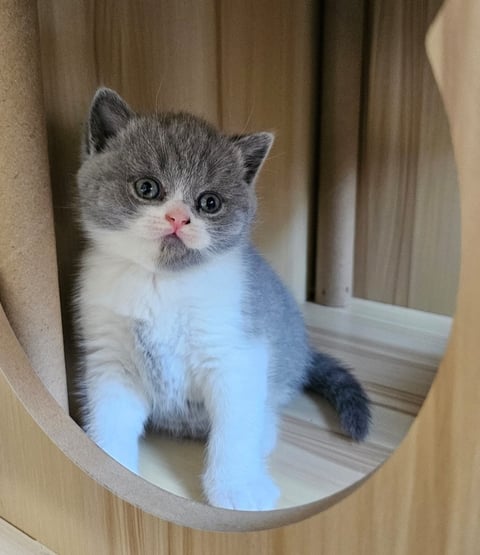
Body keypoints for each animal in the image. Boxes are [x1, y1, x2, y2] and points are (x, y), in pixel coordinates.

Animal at [75, 88, 372, 512]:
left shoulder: (237, 353)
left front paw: (237, 487)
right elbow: (110, 417)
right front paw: (110, 474)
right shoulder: (110, 358)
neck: (162, 283)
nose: (178, 218)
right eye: (147, 188)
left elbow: (235, 428)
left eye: (209, 203)